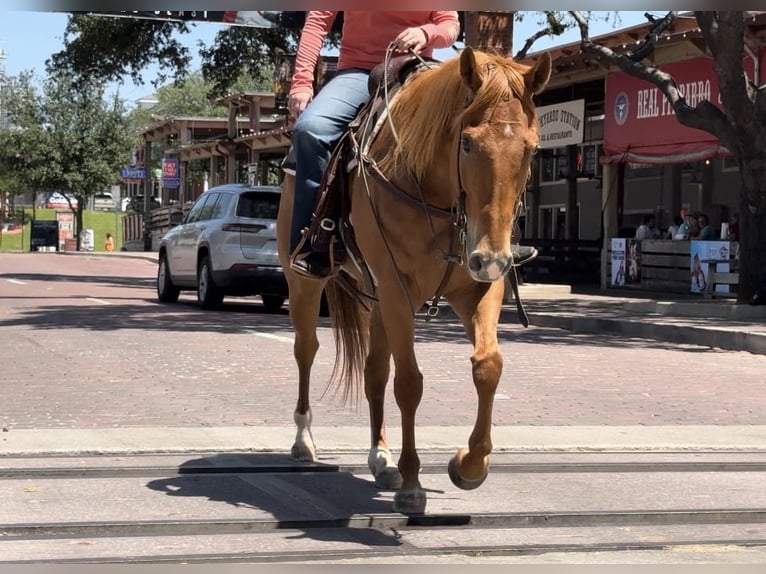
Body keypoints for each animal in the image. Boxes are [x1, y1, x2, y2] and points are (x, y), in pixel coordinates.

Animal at [276, 48, 552, 516]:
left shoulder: (478, 287)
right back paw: (304, 440)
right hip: (309, 288)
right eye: (467, 142)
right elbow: (409, 382)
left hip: (375, 302)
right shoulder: (397, 289)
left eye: (531, 148)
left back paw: (381, 457)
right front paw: (411, 481)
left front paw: (469, 464)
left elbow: (488, 366)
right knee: (306, 351)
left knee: (373, 371)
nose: (493, 256)